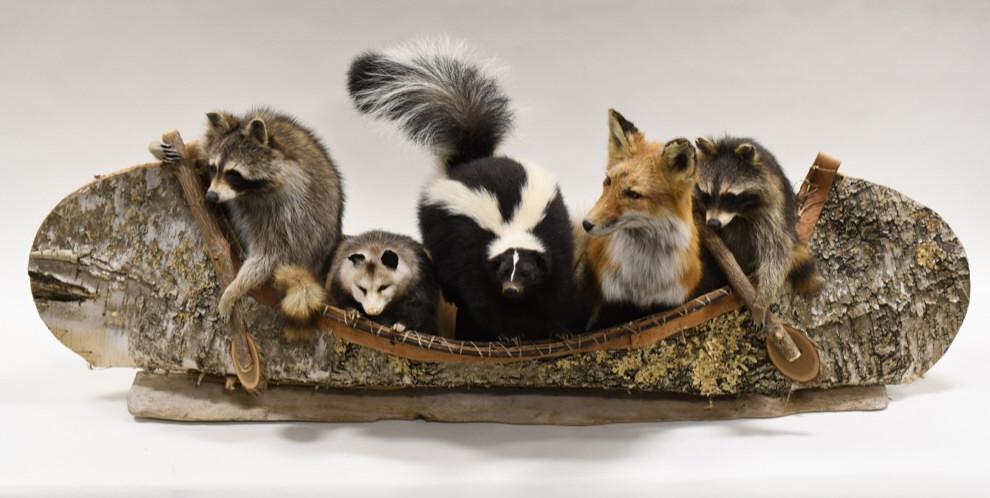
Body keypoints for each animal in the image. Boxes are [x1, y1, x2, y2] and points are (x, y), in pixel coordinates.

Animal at [150, 108, 344, 340]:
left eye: (233, 174)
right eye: (213, 168)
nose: (211, 196)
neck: (248, 192)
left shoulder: (290, 209)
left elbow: (269, 255)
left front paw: (234, 289)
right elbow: (200, 148)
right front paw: (160, 148)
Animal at [576, 109, 702, 329]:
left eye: (633, 194)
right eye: (608, 181)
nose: (586, 224)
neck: (643, 284)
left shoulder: (671, 300)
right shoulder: (610, 303)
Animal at [693, 136, 823, 326]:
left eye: (729, 197)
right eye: (706, 195)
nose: (713, 224)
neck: (738, 215)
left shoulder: (773, 212)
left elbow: (777, 253)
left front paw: (762, 302)